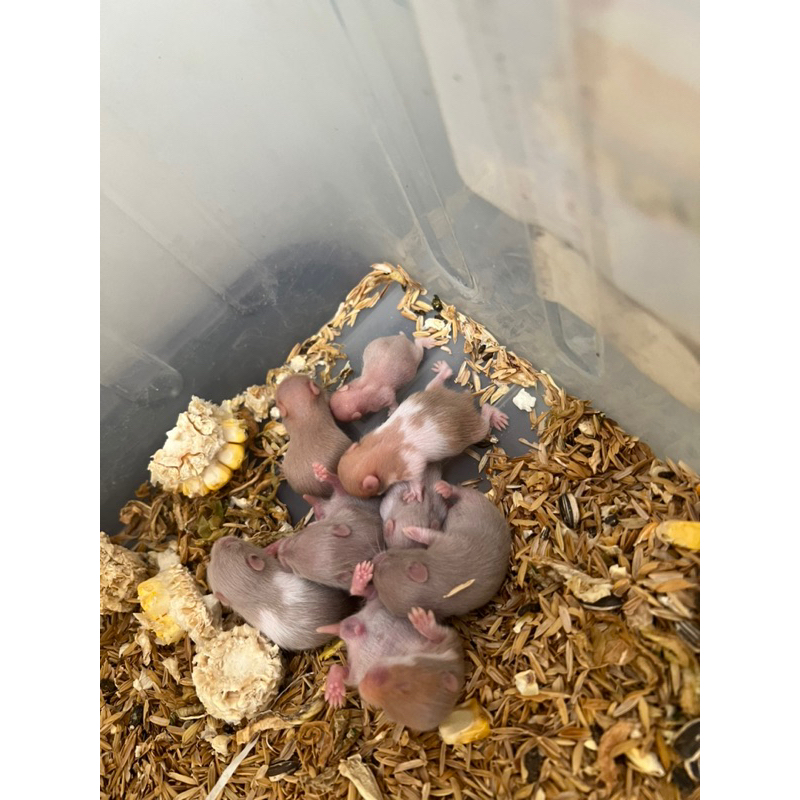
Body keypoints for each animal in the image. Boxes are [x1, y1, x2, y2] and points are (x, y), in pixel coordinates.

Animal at [317, 598, 465, 732]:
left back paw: (334, 689)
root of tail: (345, 631)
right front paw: (422, 620)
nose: (365, 685)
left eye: (386, 710)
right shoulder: (450, 643)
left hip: (355, 672)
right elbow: (439, 634)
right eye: (404, 687)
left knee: (339, 670)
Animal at [336, 361, 509, 500]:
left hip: (473, 429)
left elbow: (417, 476)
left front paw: (414, 492)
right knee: (435, 383)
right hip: (432, 391)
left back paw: (494, 414)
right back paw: (443, 370)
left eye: (372, 494)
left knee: (485, 416)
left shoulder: (410, 464)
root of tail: (464, 399)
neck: (371, 453)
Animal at [356, 481, 511, 618]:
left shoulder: (445, 541)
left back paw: (444, 489)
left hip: (473, 499)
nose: (373, 560)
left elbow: (428, 534)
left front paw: (411, 530)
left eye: (386, 559)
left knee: (462, 492)